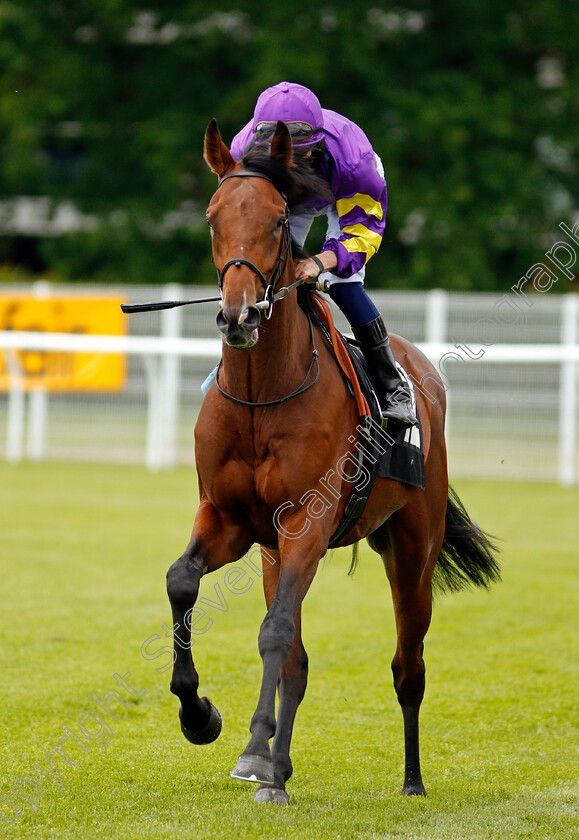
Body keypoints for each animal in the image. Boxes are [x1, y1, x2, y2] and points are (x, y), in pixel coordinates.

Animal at [165, 120, 500, 808]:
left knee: (408, 665)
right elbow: (184, 584)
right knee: (297, 658)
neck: (263, 393)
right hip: (277, 553)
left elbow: (272, 633)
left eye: (276, 220)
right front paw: (203, 718)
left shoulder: (307, 523)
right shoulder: (231, 521)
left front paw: (251, 742)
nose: (238, 316)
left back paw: (411, 780)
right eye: (212, 217)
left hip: (412, 548)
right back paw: (274, 768)